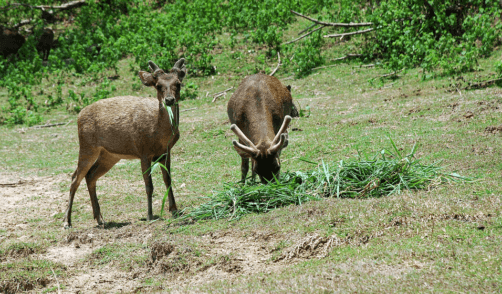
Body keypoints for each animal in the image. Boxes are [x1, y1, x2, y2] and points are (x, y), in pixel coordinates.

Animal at [63, 58, 185, 227]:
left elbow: (168, 179)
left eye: (178, 83)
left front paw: (174, 210)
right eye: (158, 85)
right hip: (87, 145)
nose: (169, 100)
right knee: (75, 177)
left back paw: (100, 218)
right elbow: (149, 185)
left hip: (109, 155)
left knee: (90, 175)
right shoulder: (143, 151)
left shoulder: (166, 152)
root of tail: (79, 115)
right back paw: (67, 221)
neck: (160, 135)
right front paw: (149, 215)